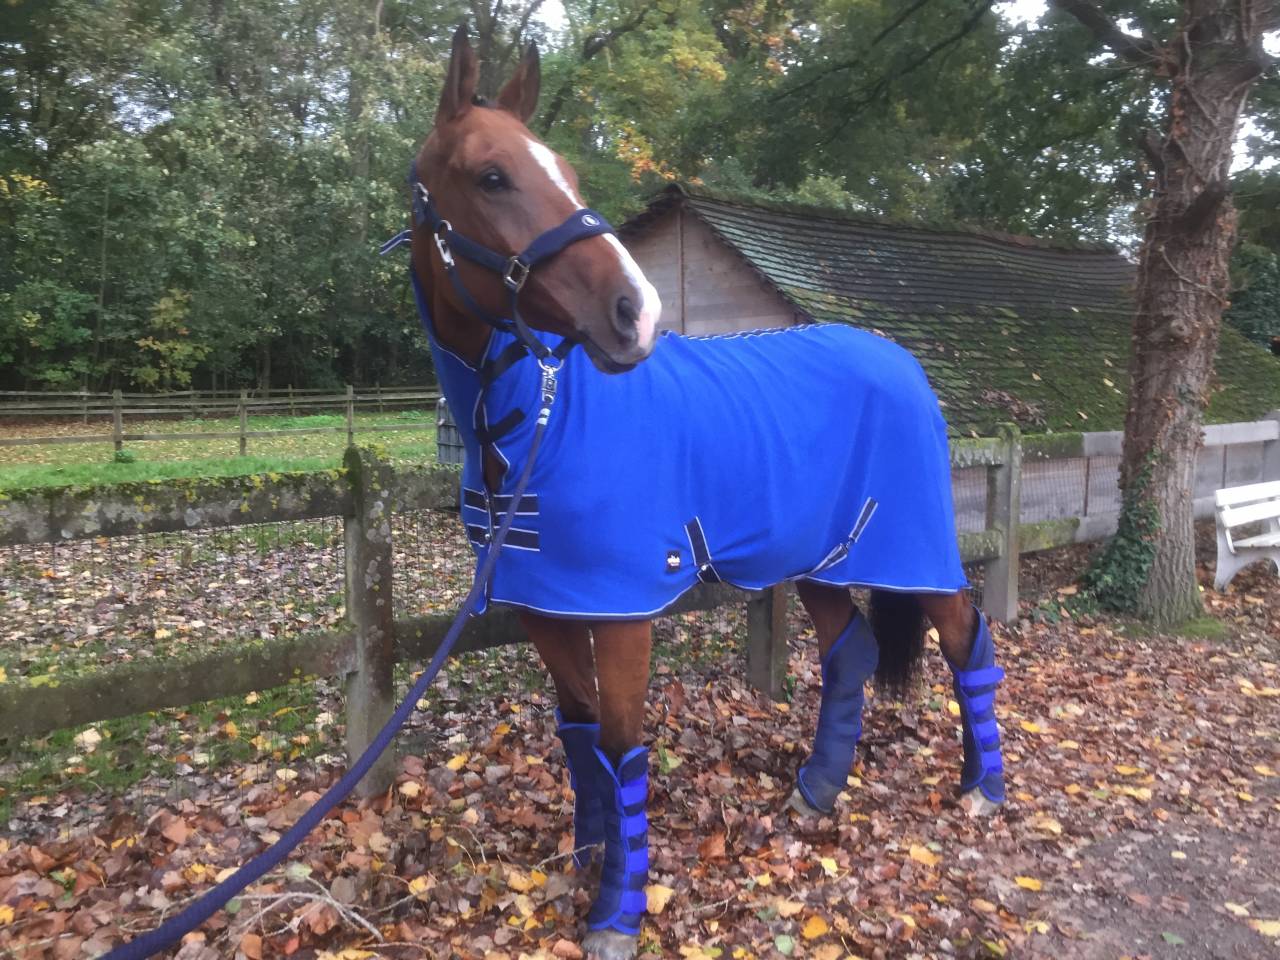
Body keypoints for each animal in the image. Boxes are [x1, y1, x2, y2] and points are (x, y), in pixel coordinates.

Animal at [404, 28, 1008, 960]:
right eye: (491, 175)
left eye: (565, 170)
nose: (634, 313)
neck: (533, 426)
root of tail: (899, 361)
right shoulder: (547, 605)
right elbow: (579, 733)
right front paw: (588, 856)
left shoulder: (620, 611)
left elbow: (622, 746)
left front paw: (616, 913)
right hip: (819, 562)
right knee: (851, 655)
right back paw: (815, 792)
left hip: (911, 551)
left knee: (968, 641)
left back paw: (983, 789)